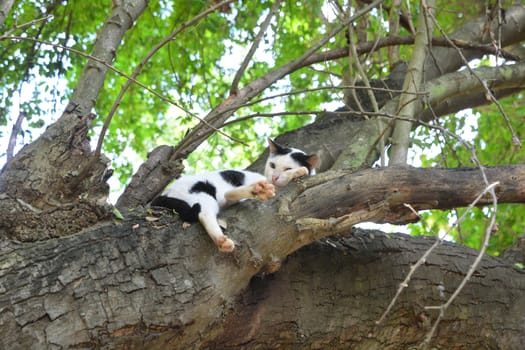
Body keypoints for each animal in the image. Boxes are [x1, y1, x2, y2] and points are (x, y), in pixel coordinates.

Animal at [149, 138, 318, 253]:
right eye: (272, 165)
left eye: (287, 167)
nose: (275, 177)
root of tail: (163, 194)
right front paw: (298, 171)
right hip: (203, 191)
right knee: (207, 211)